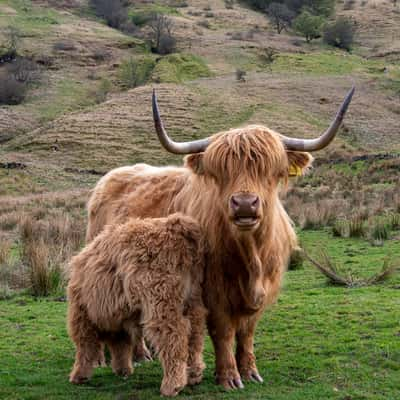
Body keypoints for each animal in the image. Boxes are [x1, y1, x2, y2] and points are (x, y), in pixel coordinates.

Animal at [67, 214, 206, 396]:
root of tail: (175, 225)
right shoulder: (118, 318)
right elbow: (121, 346)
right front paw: (123, 369)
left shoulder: (82, 315)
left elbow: (85, 347)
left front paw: (79, 375)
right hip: (192, 299)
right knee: (195, 335)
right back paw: (194, 375)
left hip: (161, 300)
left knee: (174, 336)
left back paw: (172, 385)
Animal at [83, 86, 354, 388]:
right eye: (221, 172)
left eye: (270, 171)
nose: (245, 204)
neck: (250, 257)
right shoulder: (211, 291)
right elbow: (223, 331)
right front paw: (229, 376)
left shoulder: (264, 289)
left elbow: (247, 332)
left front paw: (249, 371)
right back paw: (110, 357)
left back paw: (141, 354)